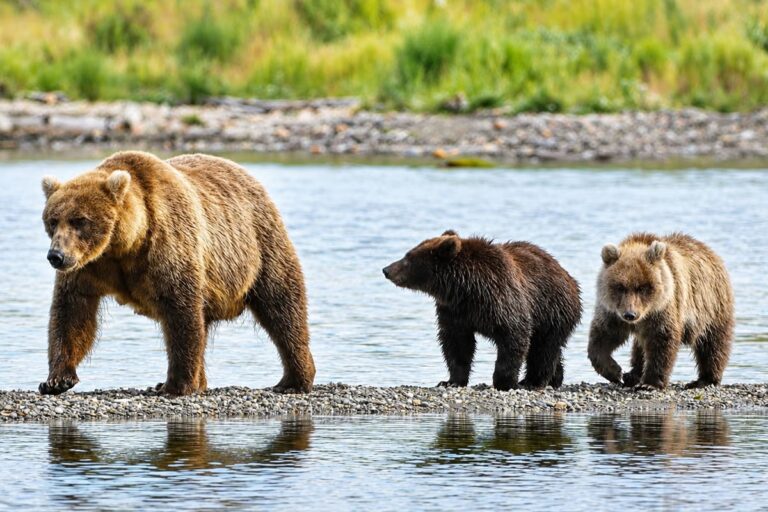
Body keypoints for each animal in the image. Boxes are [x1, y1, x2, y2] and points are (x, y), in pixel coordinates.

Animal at [39, 151, 315, 396]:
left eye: (79, 220)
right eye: (53, 220)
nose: (56, 256)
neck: (124, 245)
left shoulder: (167, 245)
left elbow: (180, 312)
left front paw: (176, 385)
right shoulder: (88, 268)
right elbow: (72, 313)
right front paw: (56, 380)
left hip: (258, 245)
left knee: (282, 306)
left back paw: (293, 380)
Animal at [383, 231, 582, 391]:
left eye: (407, 258)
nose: (386, 269)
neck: (466, 288)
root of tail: (567, 275)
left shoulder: (502, 300)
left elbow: (514, 336)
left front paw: (505, 382)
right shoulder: (454, 311)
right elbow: (456, 344)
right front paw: (450, 381)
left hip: (551, 309)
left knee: (543, 348)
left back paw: (533, 381)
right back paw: (555, 379)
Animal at [588, 232, 734, 390]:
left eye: (643, 287)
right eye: (620, 287)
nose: (630, 315)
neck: (645, 315)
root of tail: (709, 251)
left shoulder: (664, 308)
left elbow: (661, 340)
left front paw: (649, 383)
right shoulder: (612, 312)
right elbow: (603, 336)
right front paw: (615, 372)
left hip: (712, 305)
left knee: (712, 343)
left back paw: (705, 379)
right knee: (639, 346)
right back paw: (632, 374)